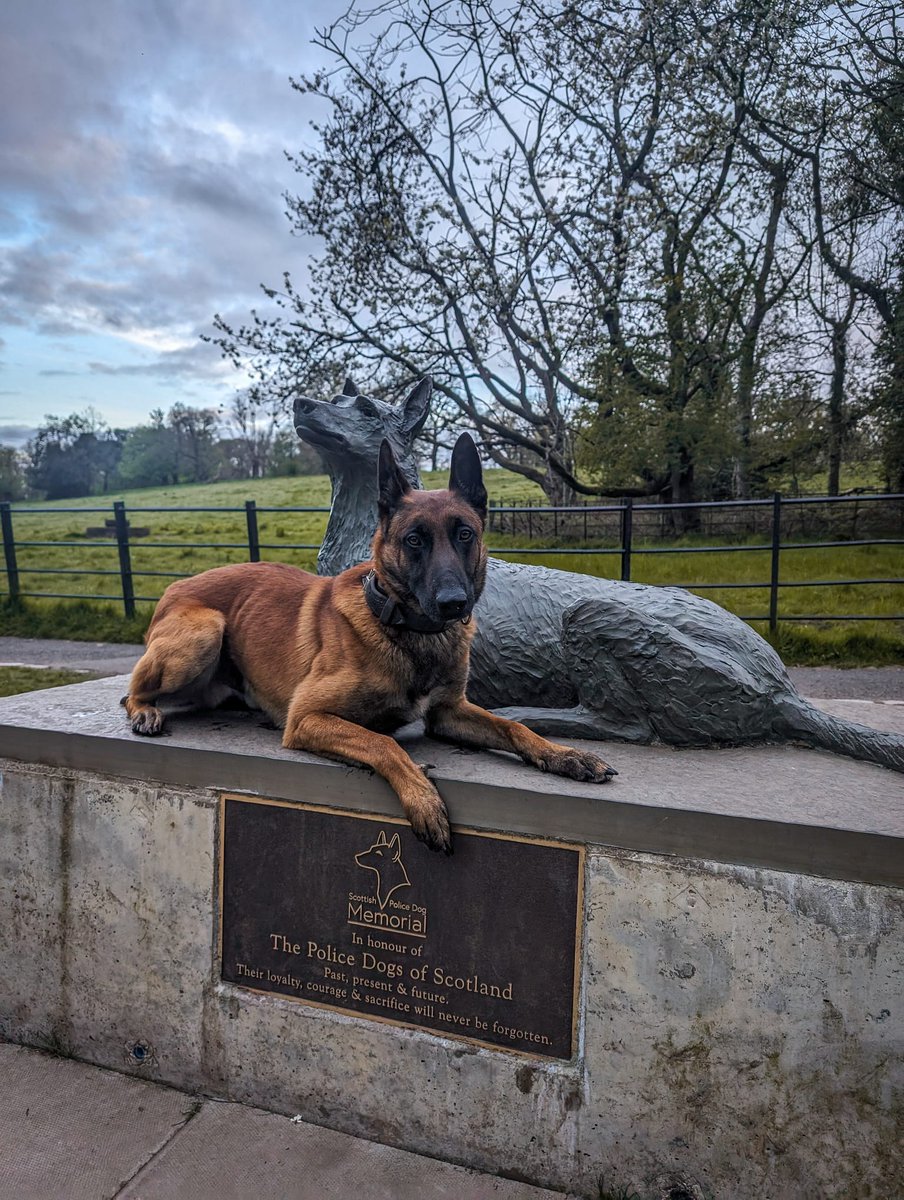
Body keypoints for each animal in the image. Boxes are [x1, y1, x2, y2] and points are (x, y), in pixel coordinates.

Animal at [125, 434, 614, 854]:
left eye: (465, 534)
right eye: (414, 539)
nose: (453, 603)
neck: (409, 632)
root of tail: (176, 585)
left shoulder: (448, 713)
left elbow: (513, 727)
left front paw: (564, 755)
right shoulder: (307, 718)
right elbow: (384, 744)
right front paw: (423, 796)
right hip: (205, 630)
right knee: (131, 691)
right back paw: (145, 712)